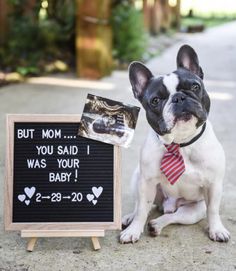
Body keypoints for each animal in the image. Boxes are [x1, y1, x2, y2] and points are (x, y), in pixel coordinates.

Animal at [121, 44, 230, 244]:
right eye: (155, 100)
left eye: (195, 86)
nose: (178, 98)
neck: (181, 143)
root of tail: (168, 204)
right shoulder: (146, 183)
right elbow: (141, 209)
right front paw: (133, 230)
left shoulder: (213, 185)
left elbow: (213, 210)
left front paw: (217, 229)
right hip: (137, 179)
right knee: (142, 206)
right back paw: (130, 218)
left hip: (194, 211)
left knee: (174, 216)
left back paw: (157, 224)